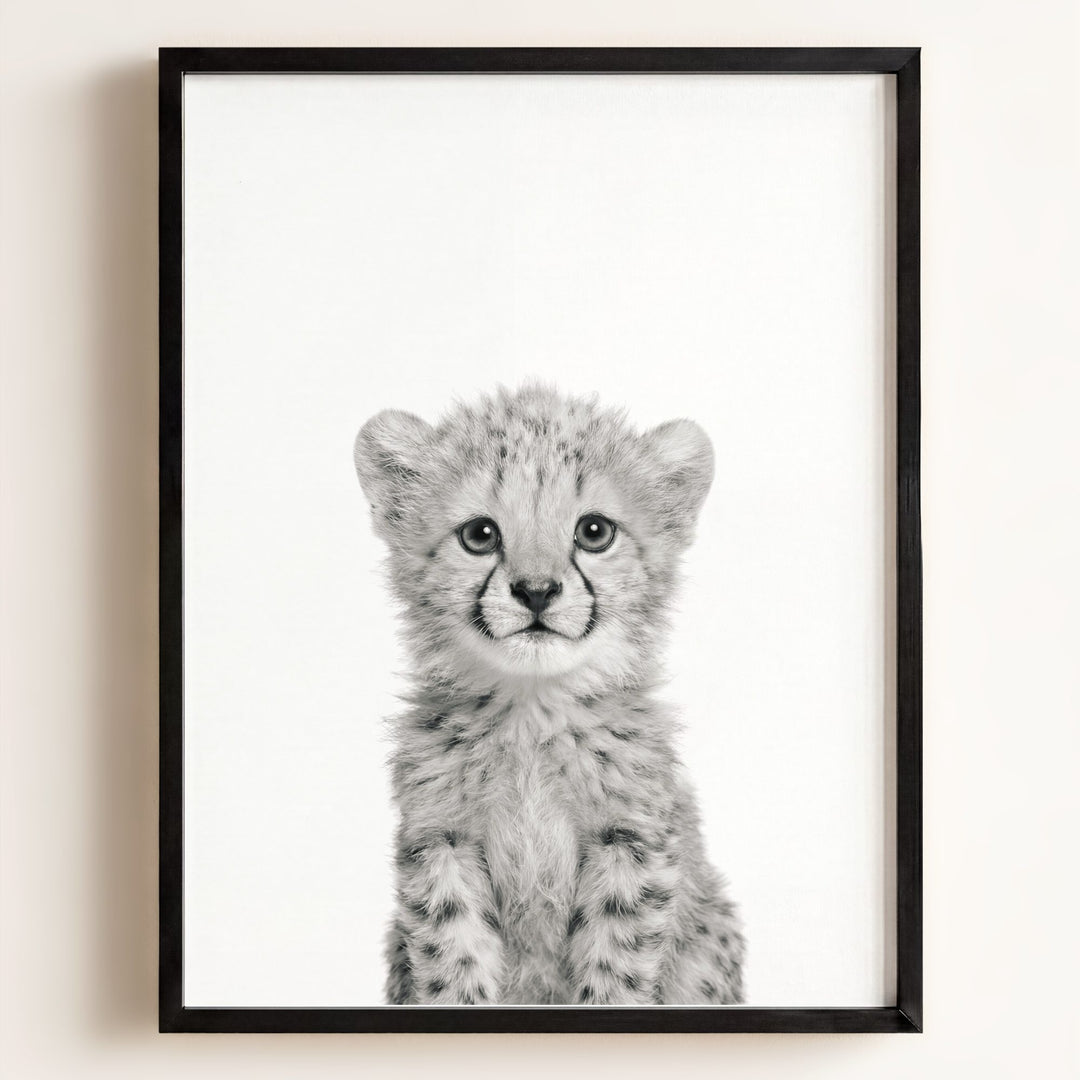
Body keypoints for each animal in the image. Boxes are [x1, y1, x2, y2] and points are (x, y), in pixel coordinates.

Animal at [353, 384, 744, 1005]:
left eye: (595, 532)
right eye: (480, 535)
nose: (536, 591)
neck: (531, 714)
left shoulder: (630, 842)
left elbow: (615, 965)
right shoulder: (441, 842)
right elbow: (453, 958)